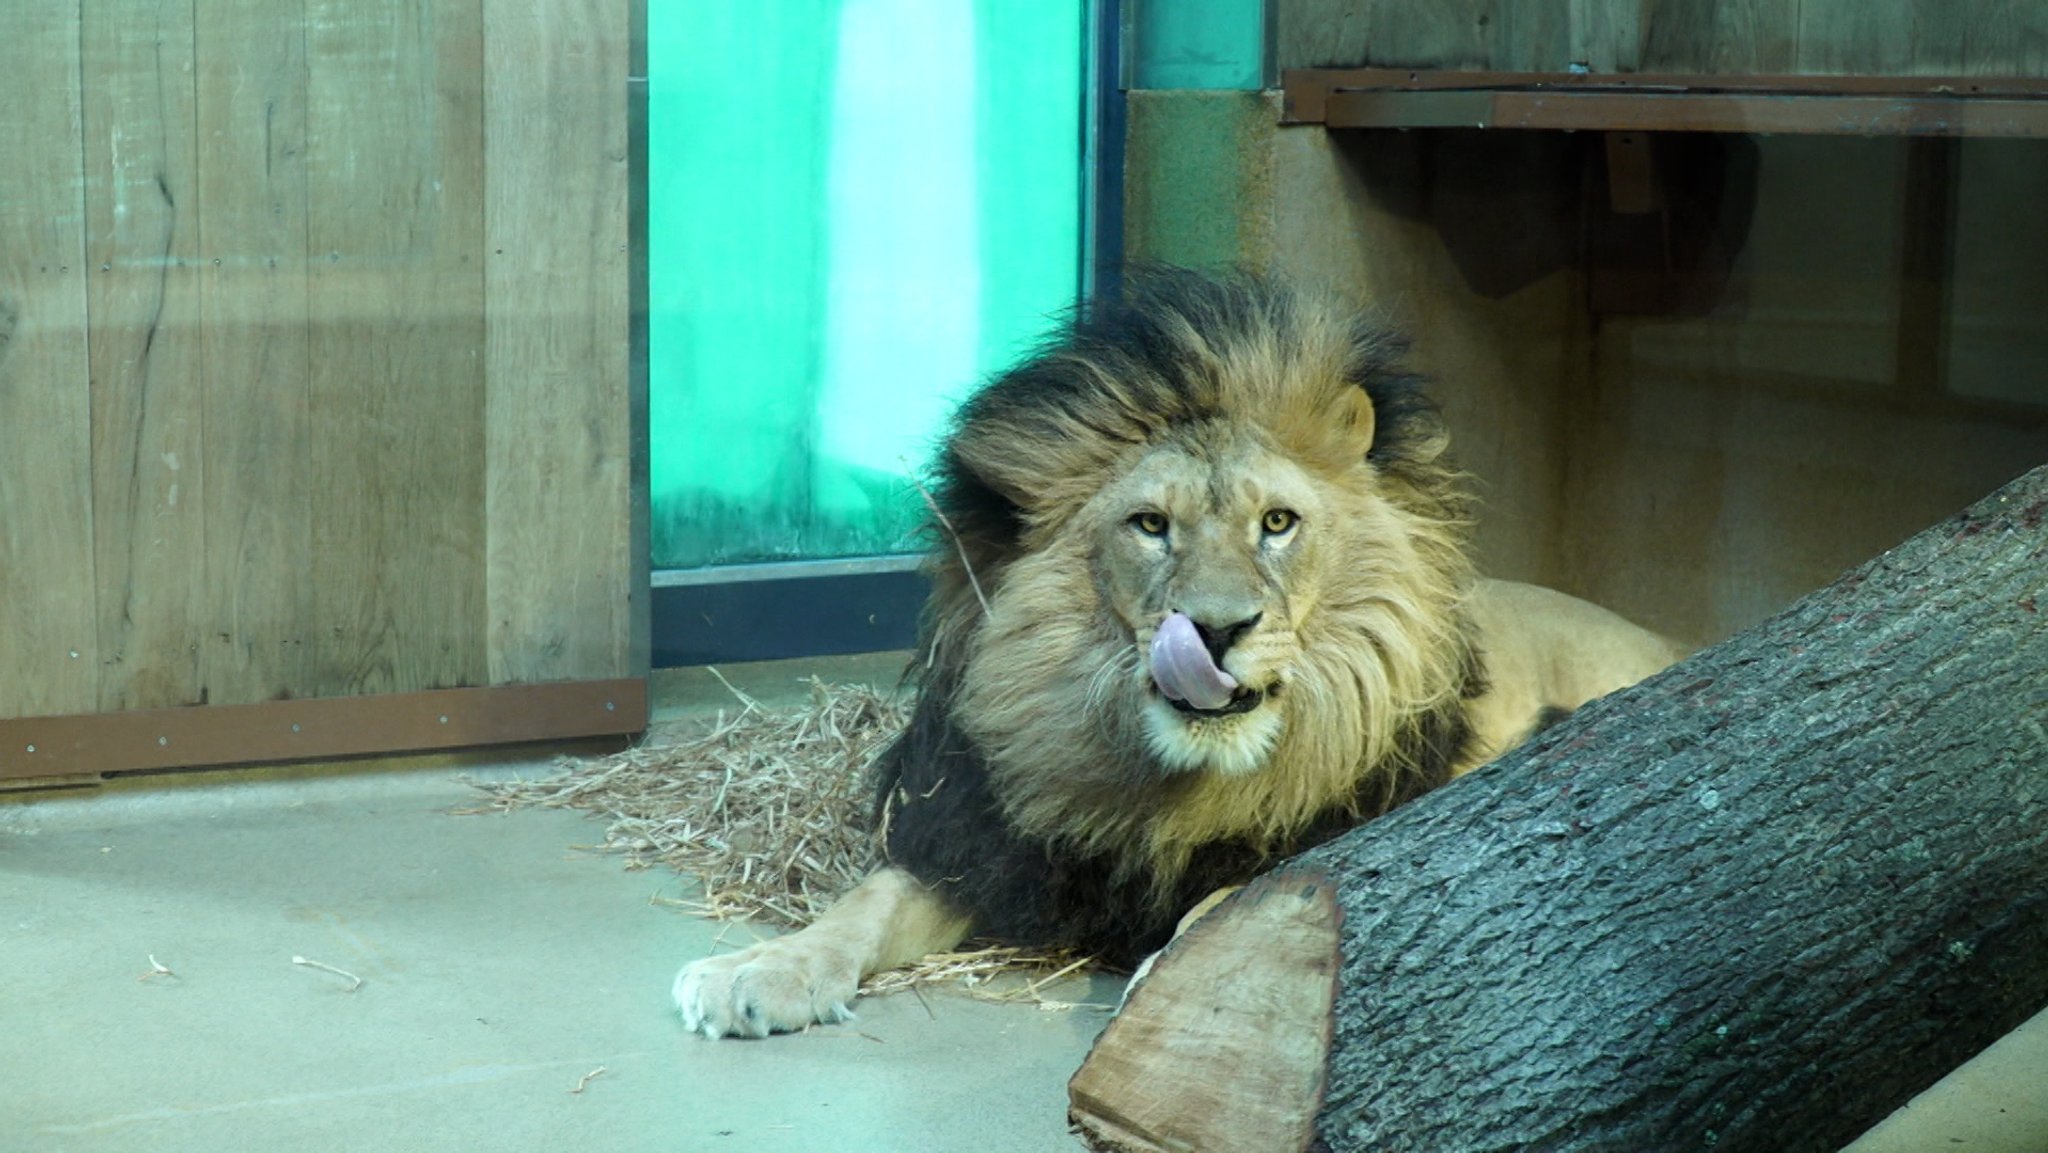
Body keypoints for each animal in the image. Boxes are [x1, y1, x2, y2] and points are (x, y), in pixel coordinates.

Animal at [671, 268, 1679, 1036]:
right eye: (1151, 526)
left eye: (1278, 523)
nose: (1219, 628)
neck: (1164, 787)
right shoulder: (988, 838)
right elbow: (864, 902)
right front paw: (757, 968)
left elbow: (1224, 901)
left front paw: (1178, 980)